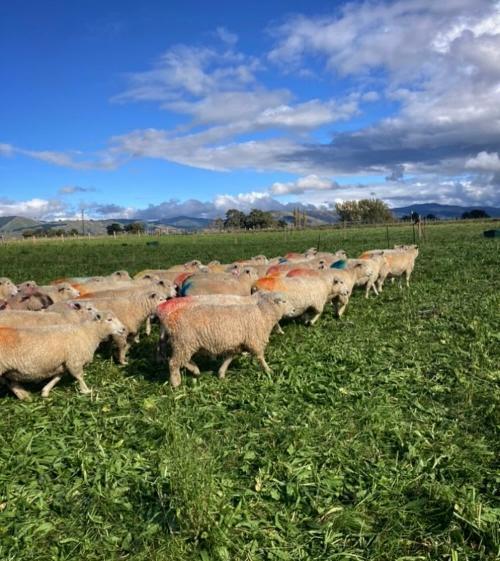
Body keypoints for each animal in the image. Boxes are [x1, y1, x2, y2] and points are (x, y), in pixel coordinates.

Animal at [159, 294, 292, 384]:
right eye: (283, 301)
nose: (294, 310)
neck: (263, 314)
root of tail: (169, 322)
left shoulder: (237, 344)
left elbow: (229, 358)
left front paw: (221, 373)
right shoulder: (254, 340)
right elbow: (260, 357)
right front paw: (269, 370)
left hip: (184, 344)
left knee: (181, 360)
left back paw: (195, 370)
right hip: (184, 342)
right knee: (173, 363)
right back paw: (176, 383)